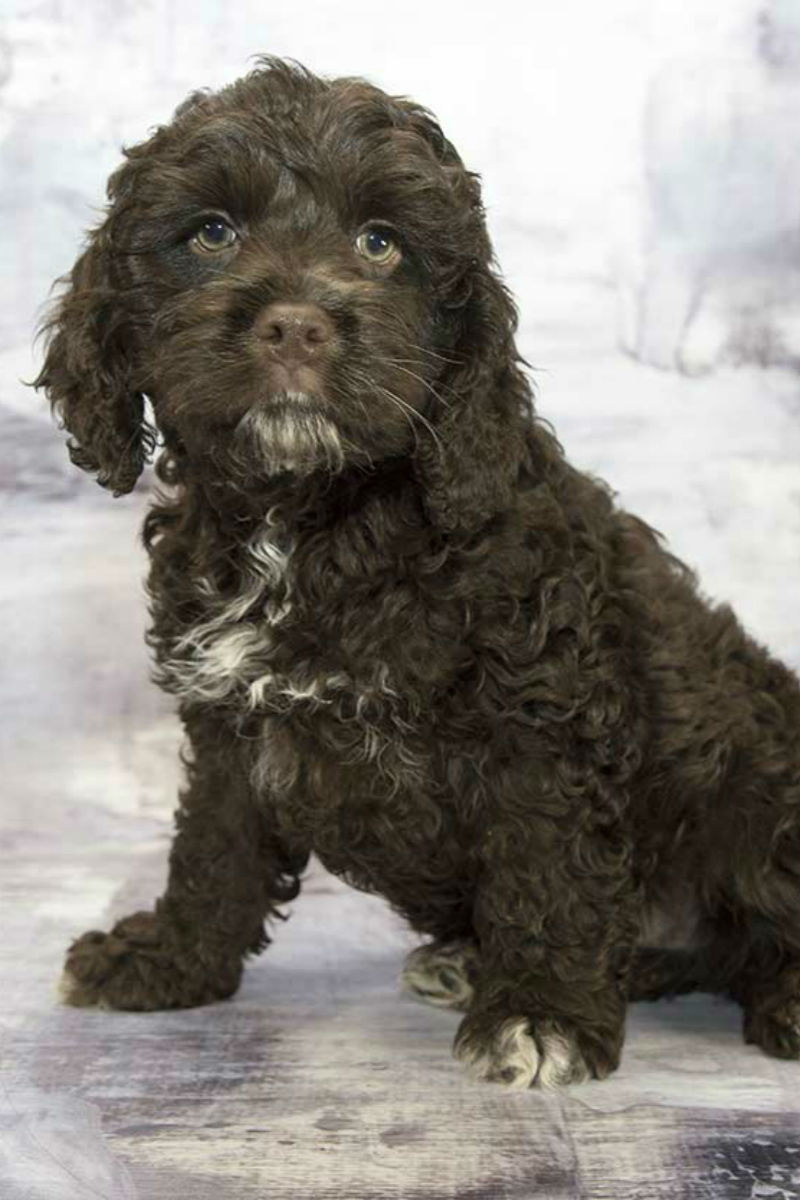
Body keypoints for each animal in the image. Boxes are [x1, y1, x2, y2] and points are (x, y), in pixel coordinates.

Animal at [34, 58, 800, 1089]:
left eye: (381, 242)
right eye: (212, 232)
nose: (295, 329)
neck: (311, 520)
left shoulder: (542, 711)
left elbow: (547, 864)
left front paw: (541, 1013)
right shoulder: (231, 718)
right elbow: (214, 848)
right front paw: (171, 959)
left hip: (754, 801)